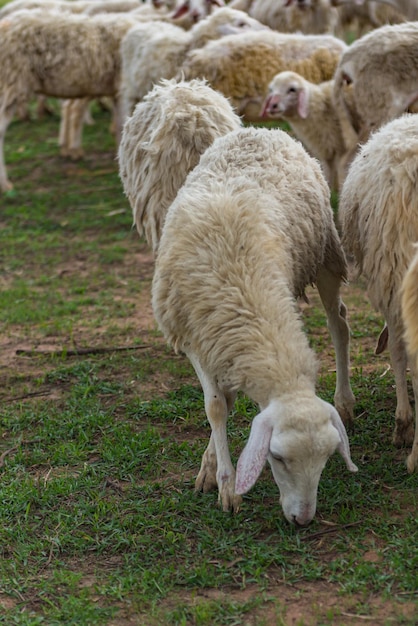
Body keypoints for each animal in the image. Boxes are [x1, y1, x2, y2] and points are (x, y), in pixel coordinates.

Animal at [119, 78, 358, 528]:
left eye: (325, 460)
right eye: (277, 458)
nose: (303, 520)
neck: (242, 289)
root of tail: (261, 130)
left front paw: (219, 472)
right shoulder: (198, 335)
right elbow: (216, 406)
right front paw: (223, 480)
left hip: (324, 253)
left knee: (339, 324)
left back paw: (345, 398)